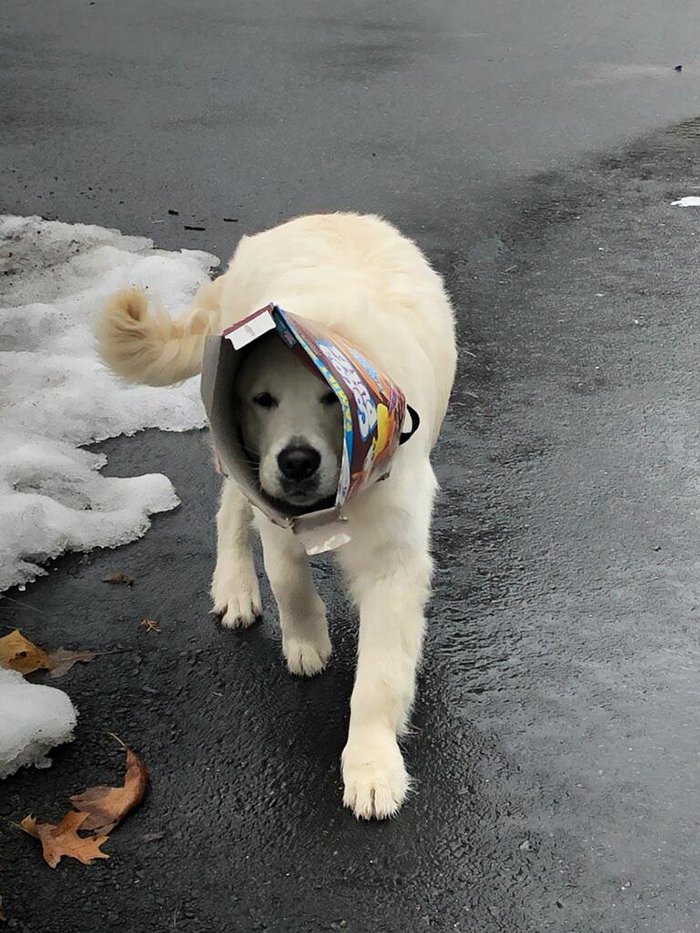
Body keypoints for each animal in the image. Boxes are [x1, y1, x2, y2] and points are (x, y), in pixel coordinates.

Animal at [100, 211, 460, 816]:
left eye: (330, 398)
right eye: (263, 399)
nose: (296, 462)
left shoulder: (397, 555)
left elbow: (380, 674)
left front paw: (372, 766)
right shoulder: (274, 508)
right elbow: (288, 576)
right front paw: (307, 640)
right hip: (237, 458)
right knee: (229, 509)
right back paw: (235, 588)